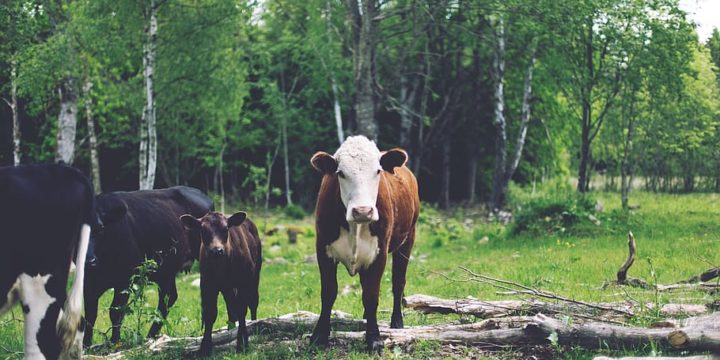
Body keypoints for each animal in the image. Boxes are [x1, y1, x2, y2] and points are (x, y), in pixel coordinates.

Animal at [83, 186, 214, 346]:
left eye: (101, 228)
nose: (89, 260)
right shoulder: (88, 282)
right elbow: (89, 315)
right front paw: (85, 344)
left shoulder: (124, 280)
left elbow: (116, 311)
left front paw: (115, 342)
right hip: (165, 271)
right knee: (168, 297)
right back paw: (150, 335)